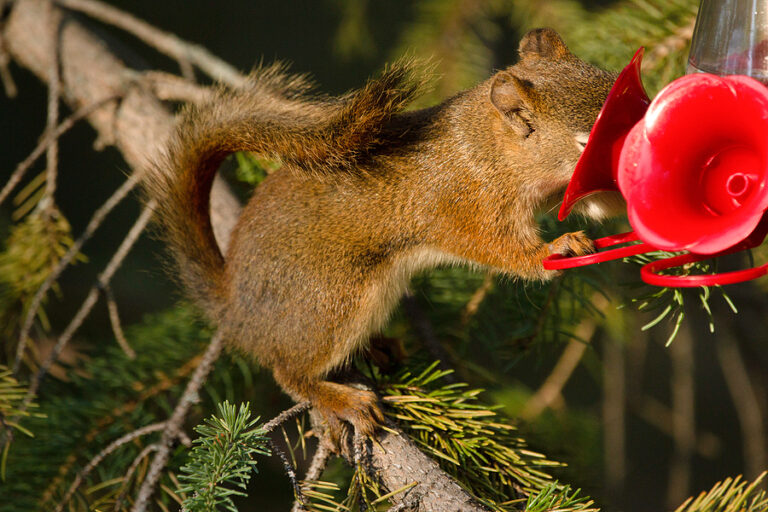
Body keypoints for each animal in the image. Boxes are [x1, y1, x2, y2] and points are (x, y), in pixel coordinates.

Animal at [145, 28, 621, 448]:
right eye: (586, 141)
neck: (492, 149)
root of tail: (234, 307)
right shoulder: (468, 207)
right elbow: (500, 249)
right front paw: (555, 249)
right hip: (331, 301)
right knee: (291, 373)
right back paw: (341, 399)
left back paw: (380, 348)